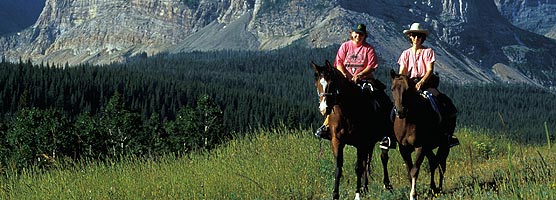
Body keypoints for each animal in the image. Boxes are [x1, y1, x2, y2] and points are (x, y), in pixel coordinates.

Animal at [310, 60, 394, 199]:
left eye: (331, 84)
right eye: (317, 84)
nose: (323, 109)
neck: (347, 111)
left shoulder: (361, 143)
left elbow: (358, 168)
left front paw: (357, 194)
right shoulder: (337, 141)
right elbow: (338, 168)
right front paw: (335, 195)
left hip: (380, 140)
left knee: (383, 158)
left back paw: (386, 185)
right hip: (369, 143)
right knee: (367, 162)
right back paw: (365, 188)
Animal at [388, 69, 454, 199]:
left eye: (407, 89)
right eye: (392, 89)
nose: (401, 111)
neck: (408, 121)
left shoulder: (421, 146)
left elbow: (414, 170)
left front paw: (413, 195)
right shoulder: (404, 149)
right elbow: (409, 171)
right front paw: (415, 192)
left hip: (444, 144)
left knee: (441, 165)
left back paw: (439, 189)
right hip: (429, 148)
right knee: (433, 162)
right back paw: (433, 189)